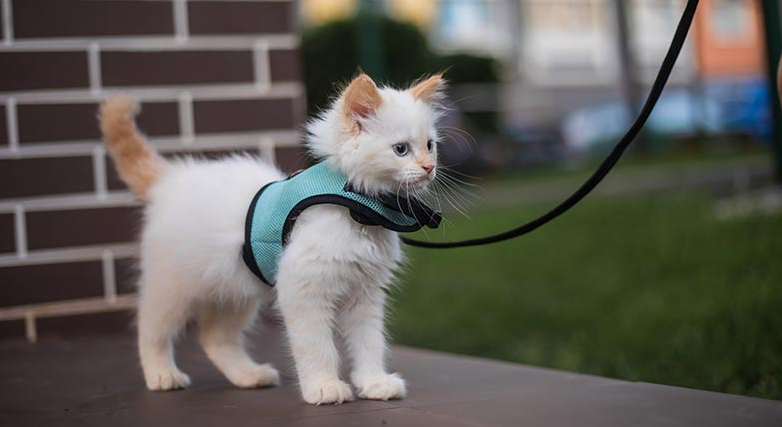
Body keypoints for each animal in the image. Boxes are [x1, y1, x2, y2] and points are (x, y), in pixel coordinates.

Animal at [99, 74, 448, 408]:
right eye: (401, 149)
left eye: (430, 145)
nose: (429, 167)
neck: (360, 209)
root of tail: (171, 178)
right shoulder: (303, 291)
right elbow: (317, 347)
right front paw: (323, 387)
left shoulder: (365, 296)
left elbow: (369, 343)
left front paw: (374, 383)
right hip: (173, 289)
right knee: (150, 328)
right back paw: (161, 374)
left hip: (236, 290)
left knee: (214, 338)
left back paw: (249, 376)